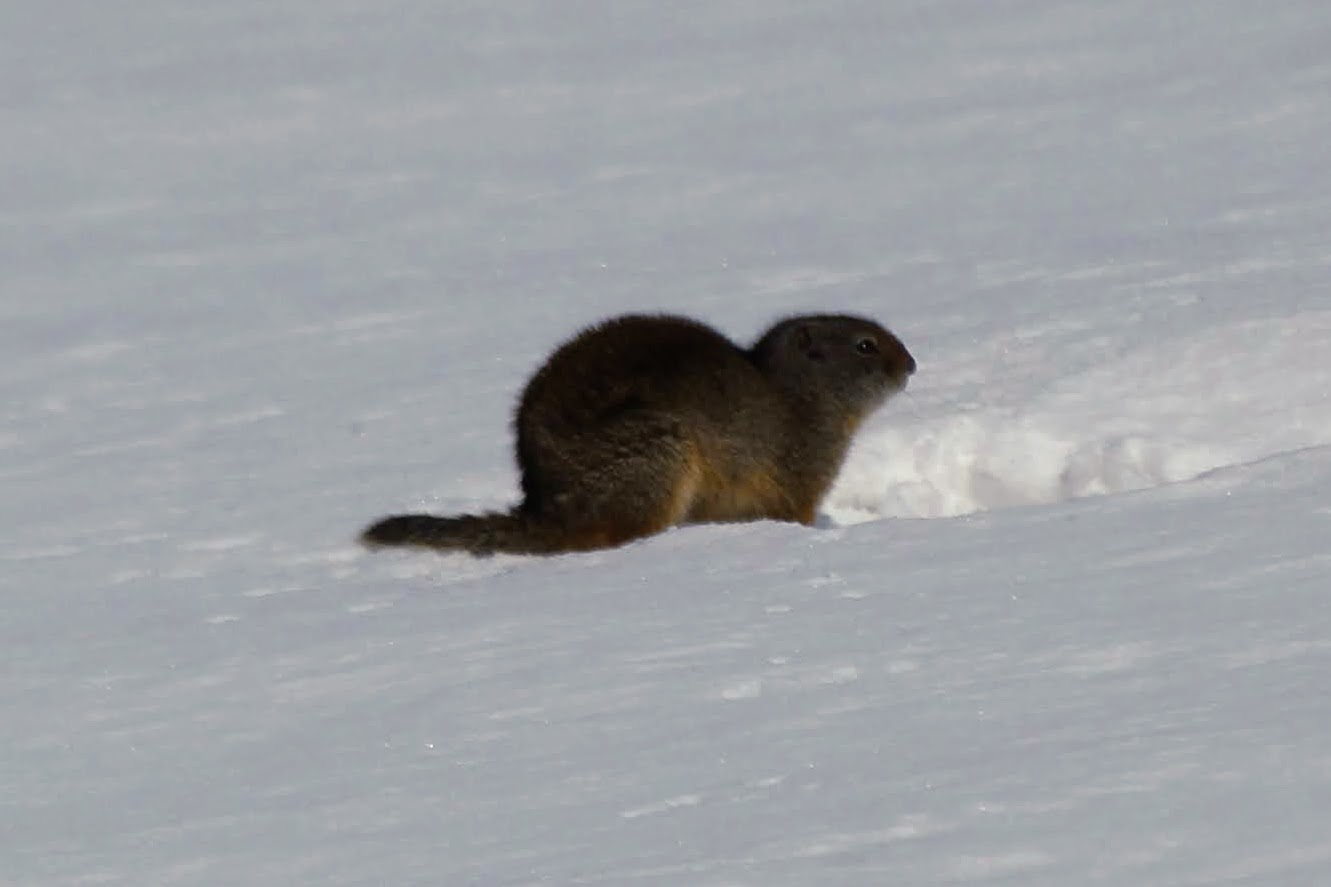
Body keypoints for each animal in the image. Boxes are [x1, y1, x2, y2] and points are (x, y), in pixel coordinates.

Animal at [361, 312, 915, 555]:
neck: (795, 395)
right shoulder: (799, 468)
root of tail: (544, 505)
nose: (912, 363)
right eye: (865, 345)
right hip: (660, 449)